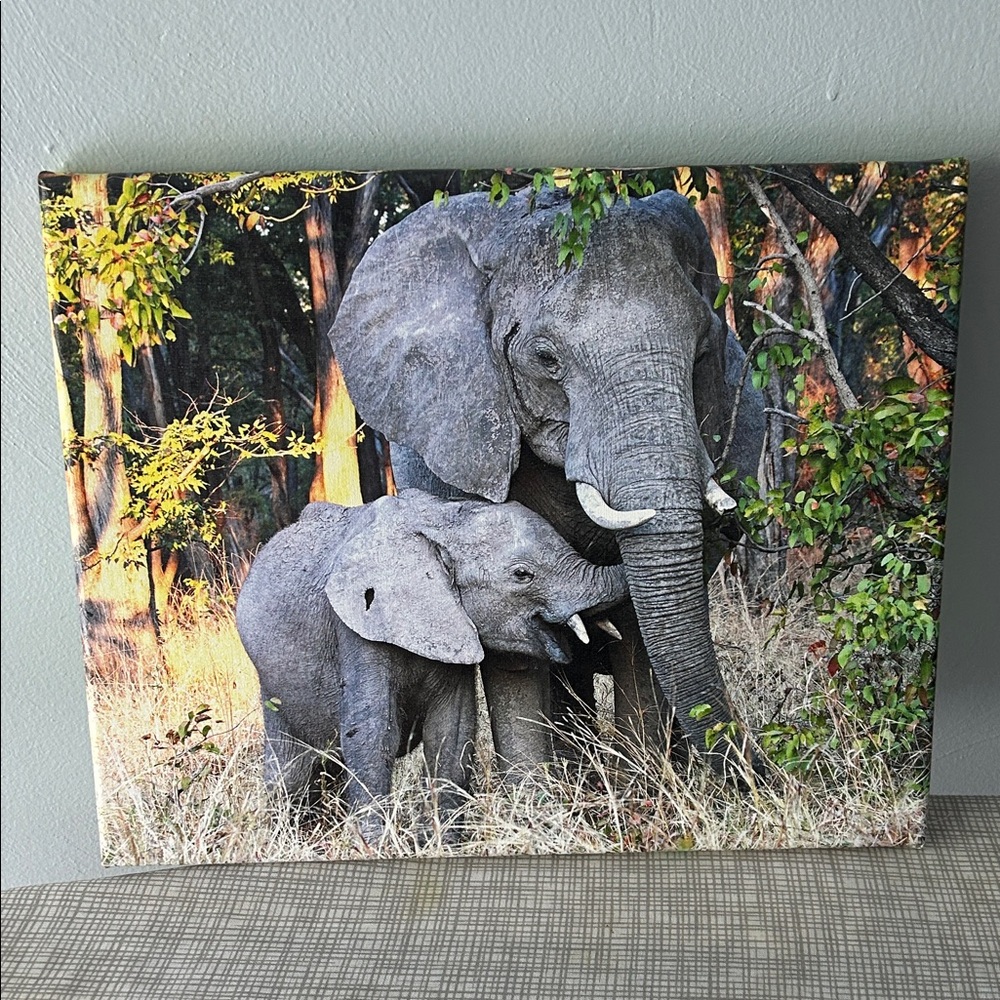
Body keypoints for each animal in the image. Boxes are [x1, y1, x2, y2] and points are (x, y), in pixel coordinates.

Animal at [234, 489, 627, 841]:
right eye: (521, 574)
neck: (443, 524)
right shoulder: (357, 631)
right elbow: (371, 732)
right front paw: (377, 846)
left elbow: (452, 730)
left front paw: (444, 842)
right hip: (271, 684)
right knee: (290, 772)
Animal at [328, 185, 766, 777]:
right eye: (546, 358)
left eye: (702, 351)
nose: (757, 772)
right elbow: (511, 641)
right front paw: (541, 788)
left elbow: (639, 627)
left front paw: (644, 781)